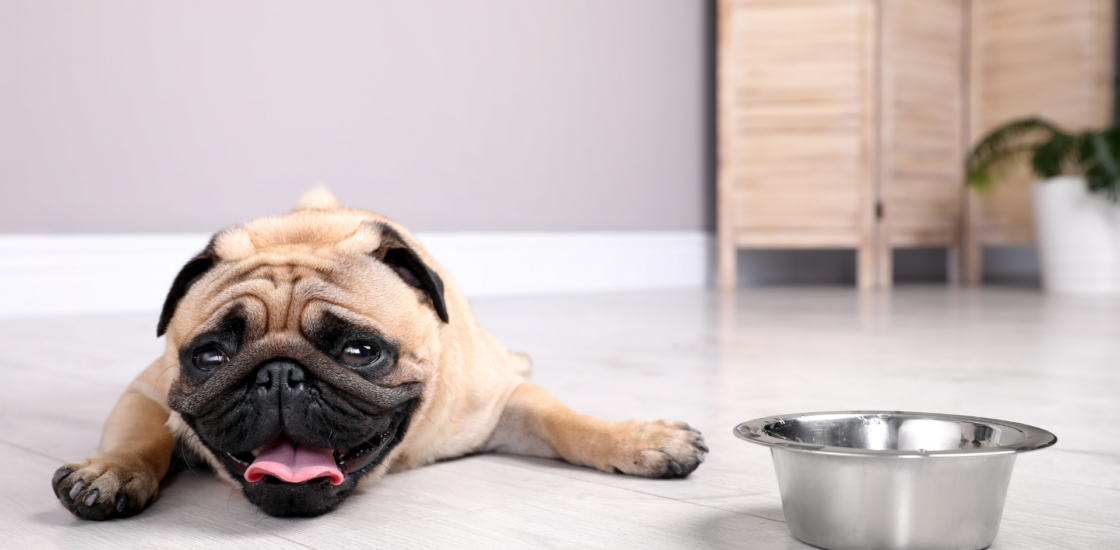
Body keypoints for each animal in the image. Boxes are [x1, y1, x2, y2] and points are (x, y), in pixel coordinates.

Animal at [52, 190, 707, 521]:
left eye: (361, 351)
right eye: (210, 357)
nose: (280, 375)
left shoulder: (498, 406)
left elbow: (567, 422)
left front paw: (642, 440)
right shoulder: (147, 391)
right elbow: (141, 436)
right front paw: (110, 472)